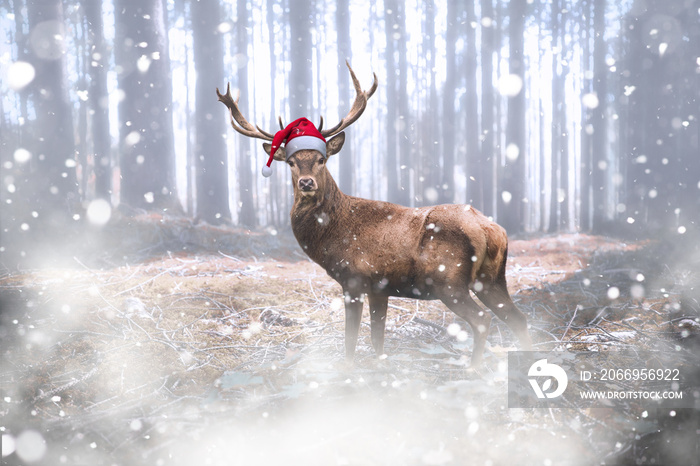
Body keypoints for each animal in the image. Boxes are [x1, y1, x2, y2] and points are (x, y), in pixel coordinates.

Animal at [216, 62, 532, 368]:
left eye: (321, 159)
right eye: (291, 162)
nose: (307, 183)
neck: (333, 234)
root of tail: (490, 229)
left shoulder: (354, 279)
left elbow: (351, 338)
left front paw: (349, 371)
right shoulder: (380, 288)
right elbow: (378, 337)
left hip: (449, 281)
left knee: (483, 320)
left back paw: (474, 370)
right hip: (492, 279)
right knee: (519, 318)